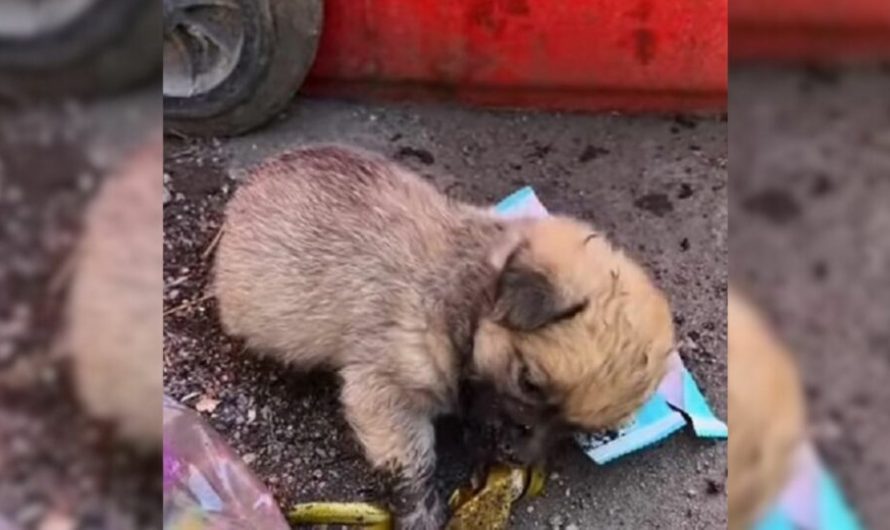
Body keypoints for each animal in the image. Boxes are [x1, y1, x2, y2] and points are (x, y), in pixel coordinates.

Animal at [215, 145, 672, 528]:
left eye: (572, 430)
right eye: (528, 382)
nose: (514, 455)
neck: (464, 292)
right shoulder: (385, 392)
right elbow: (412, 462)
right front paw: (420, 512)